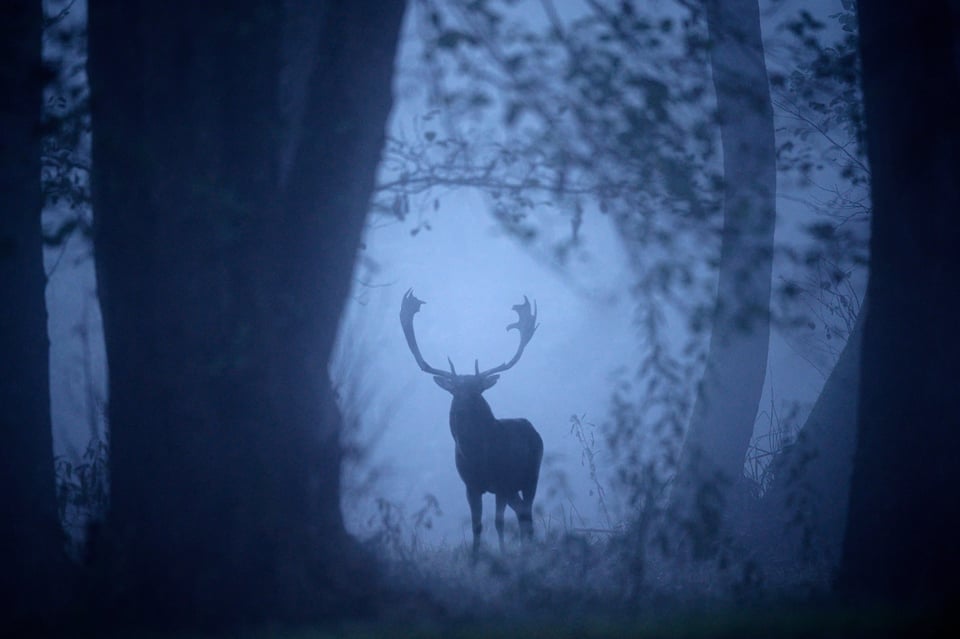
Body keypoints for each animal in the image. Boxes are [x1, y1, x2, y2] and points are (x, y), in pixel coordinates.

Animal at [402, 290, 544, 560]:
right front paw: (474, 560)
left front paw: (502, 555)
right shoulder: (470, 485)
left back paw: (528, 550)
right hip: (515, 487)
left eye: (477, 390)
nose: (463, 405)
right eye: (455, 390)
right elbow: (477, 525)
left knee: (527, 513)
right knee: (522, 513)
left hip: (531, 476)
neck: (479, 457)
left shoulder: (502, 482)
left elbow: (498, 523)